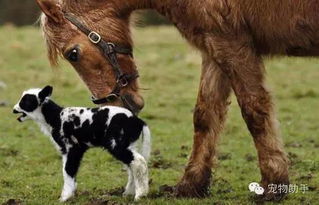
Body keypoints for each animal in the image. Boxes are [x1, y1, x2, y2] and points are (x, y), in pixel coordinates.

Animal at [13, 85, 152, 201]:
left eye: (26, 101)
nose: (14, 110)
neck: (56, 118)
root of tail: (137, 121)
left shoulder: (71, 147)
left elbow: (67, 170)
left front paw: (64, 197)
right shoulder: (75, 149)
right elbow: (71, 170)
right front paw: (71, 193)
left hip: (117, 144)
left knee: (138, 162)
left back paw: (140, 194)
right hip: (128, 143)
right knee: (133, 165)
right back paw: (129, 192)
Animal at [35, 0, 319, 201]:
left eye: (73, 53)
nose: (114, 105)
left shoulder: (231, 44)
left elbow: (254, 110)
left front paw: (273, 183)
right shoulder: (213, 47)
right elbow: (205, 115)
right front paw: (191, 184)